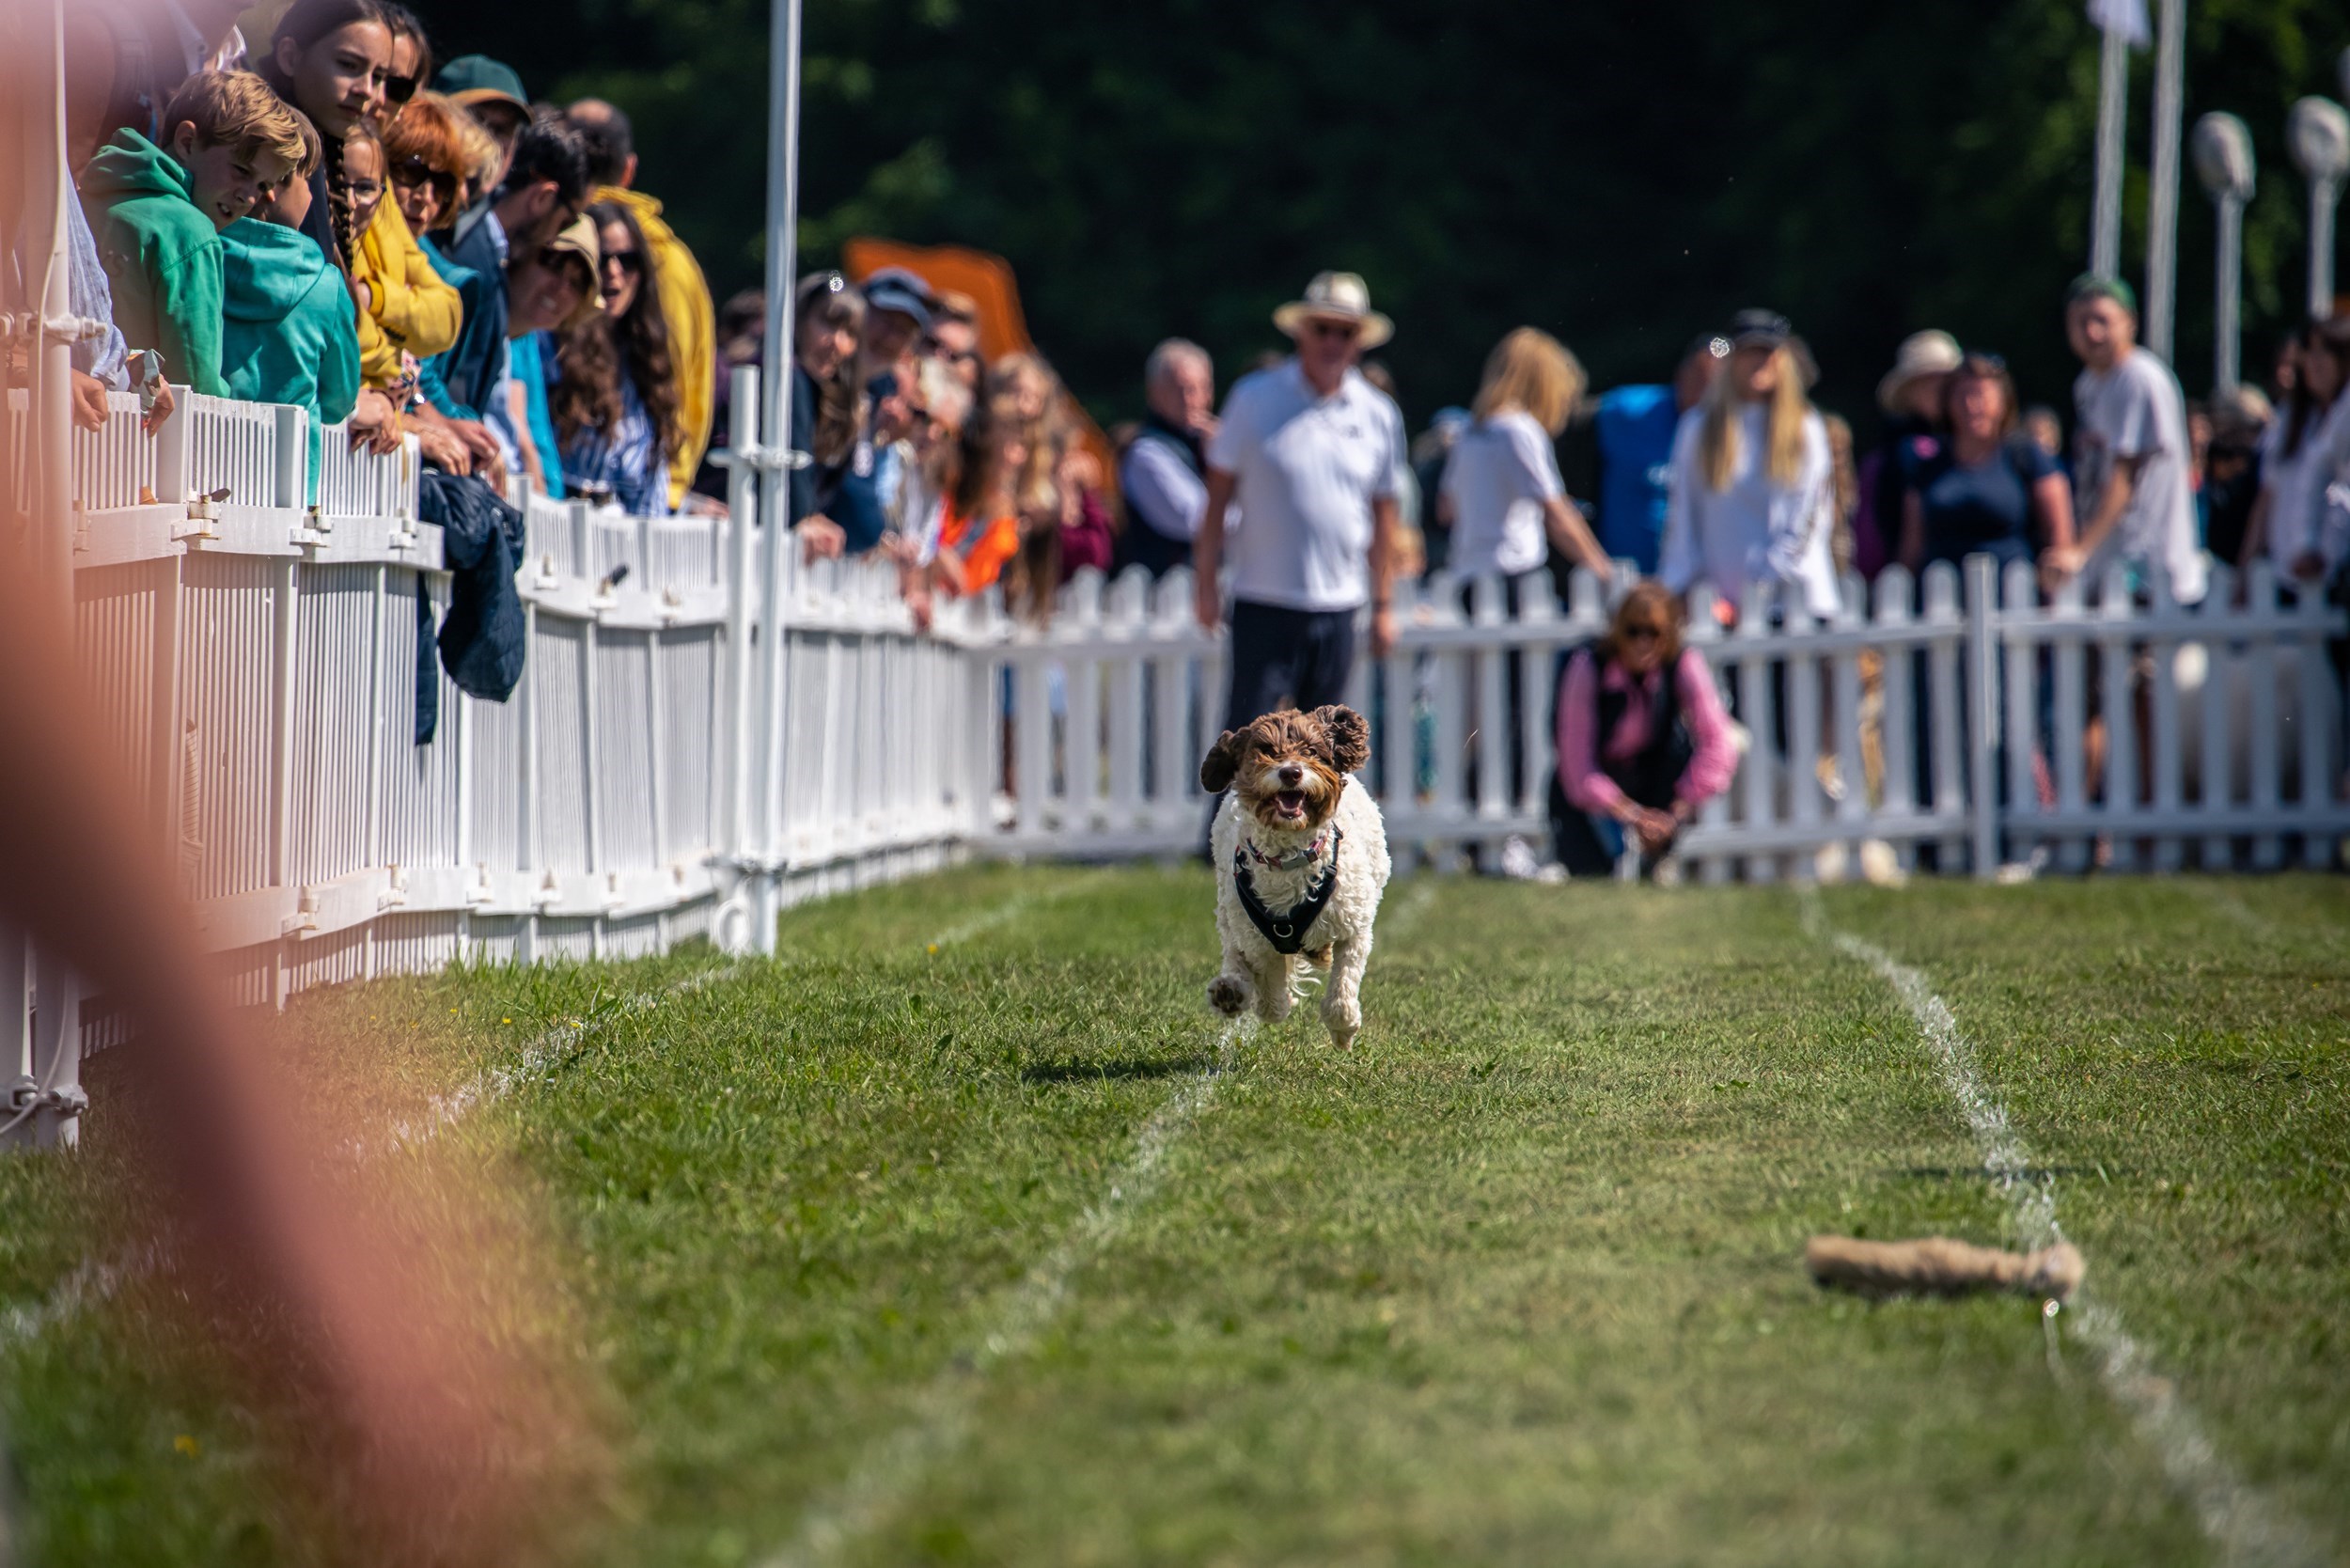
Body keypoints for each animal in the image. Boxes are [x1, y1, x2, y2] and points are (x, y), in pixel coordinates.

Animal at [1199, 705, 1391, 1048]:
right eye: (1266, 750)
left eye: (1311, 751)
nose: (1291, 772)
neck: (1289, 857)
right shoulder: (1257, 939)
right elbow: (1270, 993)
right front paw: (1275, 1000)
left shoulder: (1352, 924)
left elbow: (1343, 983)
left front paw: (1343, 1030)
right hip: (1228, 908)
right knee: (1233, 949)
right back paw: (1231, 991)